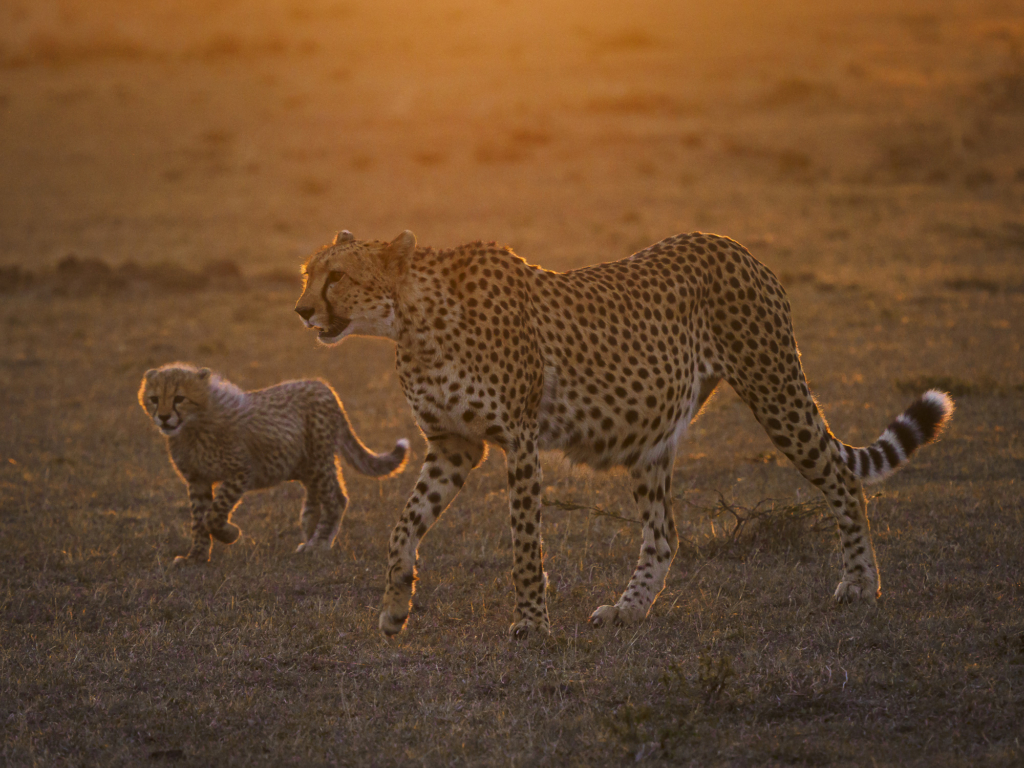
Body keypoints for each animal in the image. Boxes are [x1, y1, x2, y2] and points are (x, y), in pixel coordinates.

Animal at [292, 228, 946, 638]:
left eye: (337, 276)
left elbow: (524, 544)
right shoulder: (455, 446)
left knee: (843, 481)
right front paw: (394, 607)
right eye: (308, 274)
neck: (412, 320)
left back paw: (861, 584)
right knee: (664, 534)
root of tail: (730, 243)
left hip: (774, 388)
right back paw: (628, 611)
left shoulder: (519, 441)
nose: (300, 311)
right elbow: (403, 526)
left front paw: (531, 623)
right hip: (652, 435)